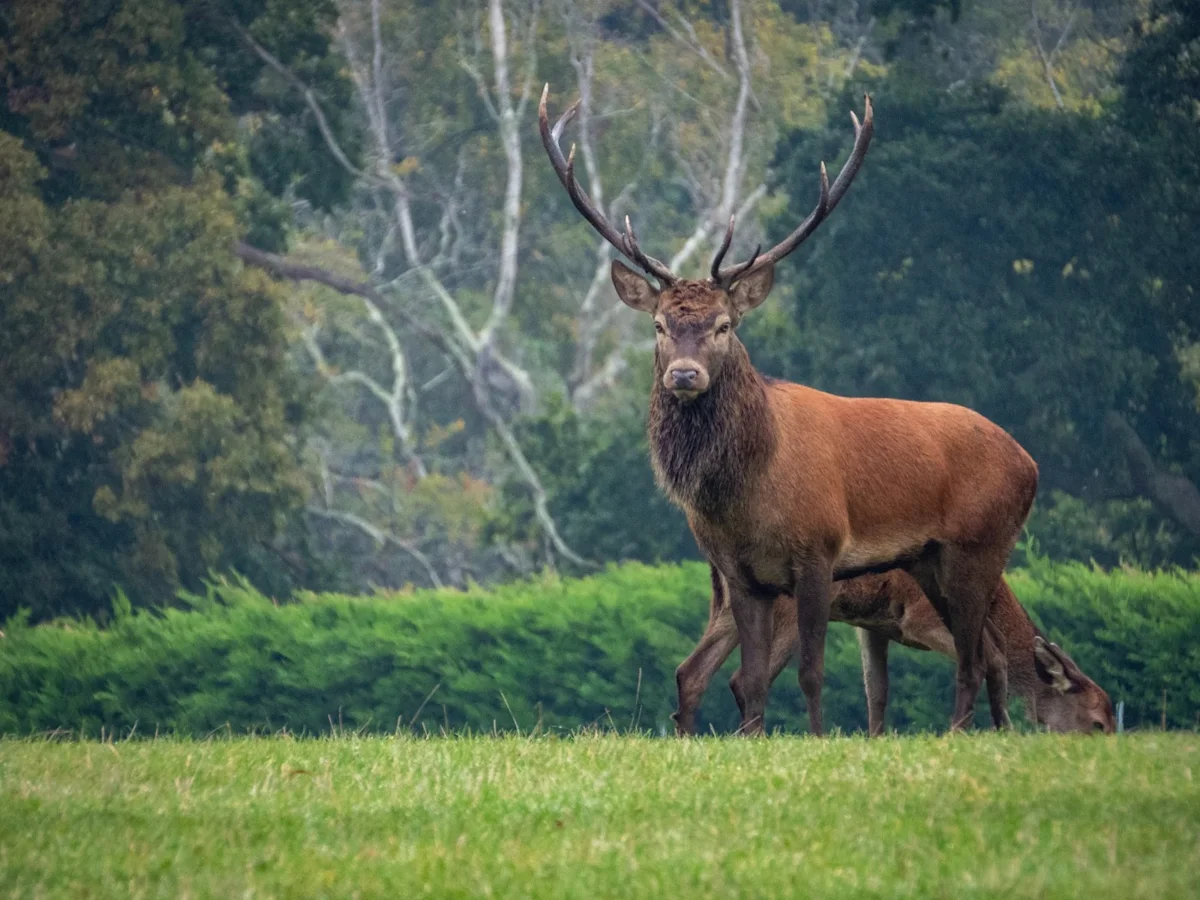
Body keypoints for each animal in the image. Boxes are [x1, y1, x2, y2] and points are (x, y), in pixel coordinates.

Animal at [540, 86, 1036, 734]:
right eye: (659, 325)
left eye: (723, 325)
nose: (684, 375)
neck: (746, 494)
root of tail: (1030, 464)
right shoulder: (741, 574)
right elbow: (750, 682)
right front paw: (751, 738)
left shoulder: (819, 552)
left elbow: (811, 672)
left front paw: (819, 739)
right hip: (931, 561)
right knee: (986, 653)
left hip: (981, 546)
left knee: (976, 657)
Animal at [676, 566, 1113, 734]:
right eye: (1097, 724)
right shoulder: (918, 617)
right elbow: (994, 654)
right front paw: (996, 730)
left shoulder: (873, 626)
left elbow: (877, 689)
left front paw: (876, 740)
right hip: (784, 608)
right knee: (743, 678)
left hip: (725, 607)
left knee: (691, 670)